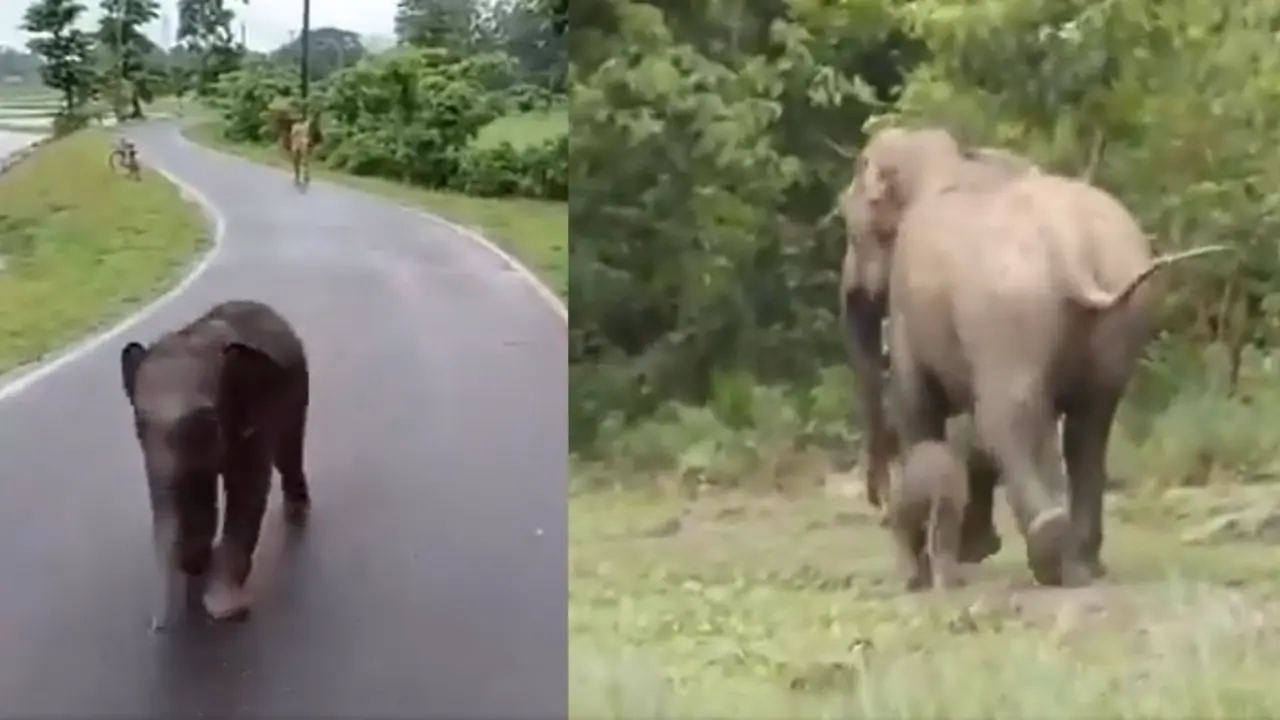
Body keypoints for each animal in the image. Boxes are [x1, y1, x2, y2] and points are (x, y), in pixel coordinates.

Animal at [119, 299, 311, 631]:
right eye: (139, 428)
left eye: (204, 426)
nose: (157, 625)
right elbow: (193, 498)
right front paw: (197, 568)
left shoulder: (252, 418)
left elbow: (247, 491)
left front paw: (225, 610)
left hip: (298, 385)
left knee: (288, 450)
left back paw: (296, 513)